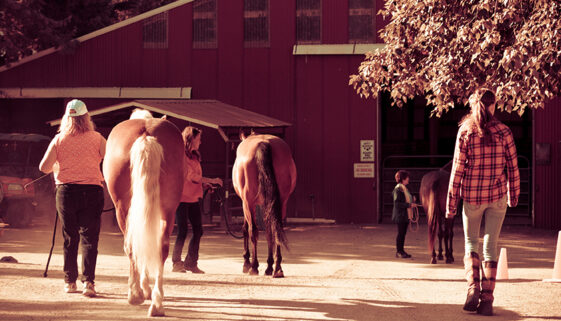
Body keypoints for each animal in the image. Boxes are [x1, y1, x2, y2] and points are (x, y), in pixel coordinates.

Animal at [103, 114, 184, 316]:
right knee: (161, 247)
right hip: (168, 210)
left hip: (123, 209)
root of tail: (147, 135)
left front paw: (142, 289)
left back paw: (136, 294)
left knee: (131, 245)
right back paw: (157, 304)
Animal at [231, 132, 296, 278]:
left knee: (253, 231)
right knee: (277, 229)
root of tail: (264, 143)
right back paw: (277, 268)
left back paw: (254, 266)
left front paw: (246, 263)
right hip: (281, 201)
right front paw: (269, 265)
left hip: (249, 202)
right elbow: (269, 231)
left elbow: (246, 229)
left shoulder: (245, 203)